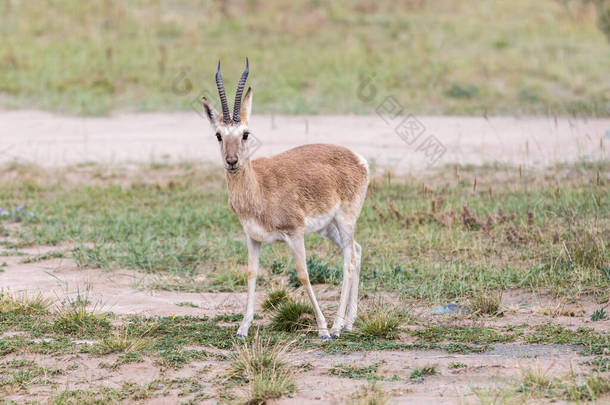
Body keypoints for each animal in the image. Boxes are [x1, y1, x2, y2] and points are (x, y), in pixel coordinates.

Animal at [202, 59, 368, 338]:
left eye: (245, 133)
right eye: (218, 135)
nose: (232, 161)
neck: (258, 188)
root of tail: (358, 158)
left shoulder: (294, 234)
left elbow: (303, 274)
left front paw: (322, 329)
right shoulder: (253, 237)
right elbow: (251, 273)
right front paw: (243, 328)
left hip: (345, 220)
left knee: (349, 260)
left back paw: (336, 327)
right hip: (327, 228)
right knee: (356, 249)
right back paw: (349, 322)